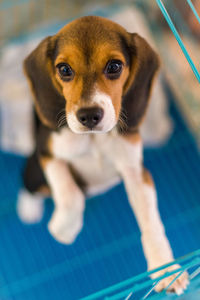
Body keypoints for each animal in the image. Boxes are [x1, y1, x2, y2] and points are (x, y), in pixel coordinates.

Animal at [17, 16, 188, 292]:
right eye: (64, 69)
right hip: (34, 171)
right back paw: (28, 208)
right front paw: (63, 229)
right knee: (31, 186)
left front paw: (166, 268)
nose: (88, 116)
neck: (93, 140)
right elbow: (70, 195)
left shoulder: (136, 173)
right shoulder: (48, 153)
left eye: (114, 66)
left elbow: (151, 223)